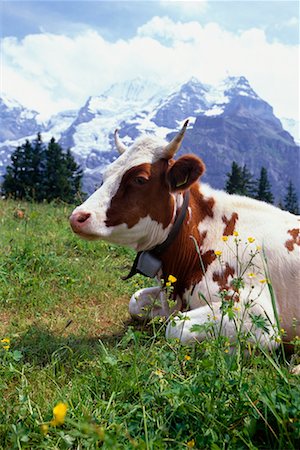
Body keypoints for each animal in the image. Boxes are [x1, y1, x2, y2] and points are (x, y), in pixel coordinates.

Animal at [69, 120, 298, 348]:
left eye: (140, 179)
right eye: (105, 176)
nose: (77, 217)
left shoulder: (257, 312)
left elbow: (175, 327)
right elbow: (135, 301)